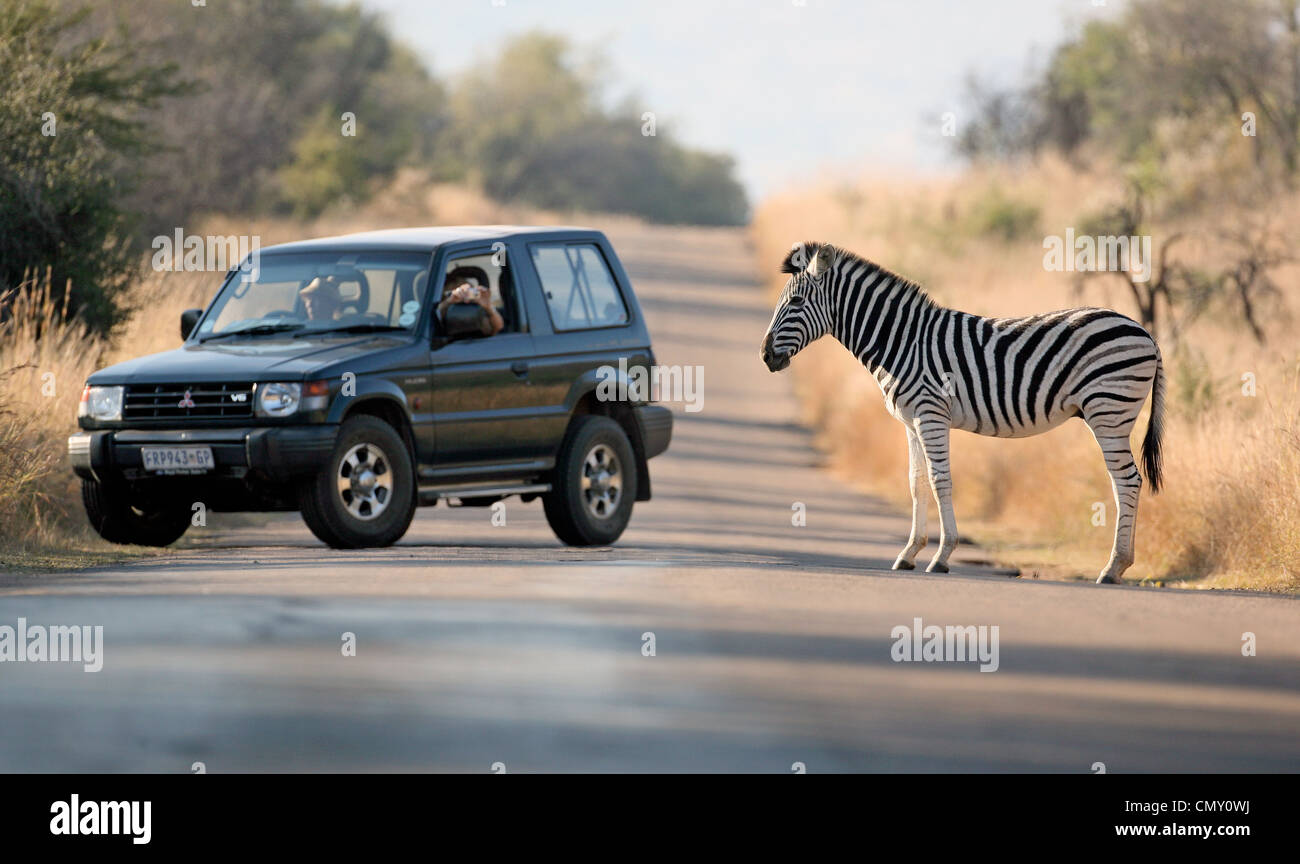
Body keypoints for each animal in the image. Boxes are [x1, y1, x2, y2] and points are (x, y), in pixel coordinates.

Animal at [759, 239, 1164, 582]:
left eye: (796, 303)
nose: (765, 356)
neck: (902, 341)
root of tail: (1145, 332)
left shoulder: (930, 414)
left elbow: (940, 481)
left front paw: (941, 556)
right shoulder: (911, 422)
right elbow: (916, 483)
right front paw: (909, 553)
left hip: (1108, 409)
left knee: (1127, 480)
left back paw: (1114, 567)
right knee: (1125, 481)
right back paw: (1117, 564)